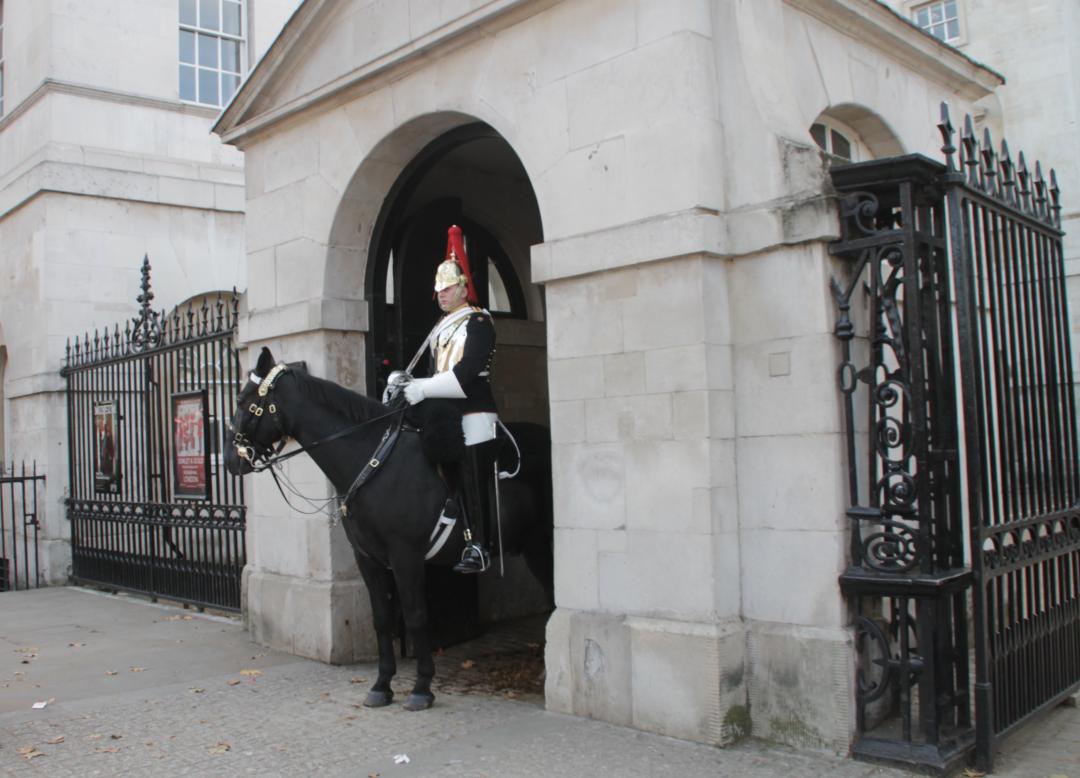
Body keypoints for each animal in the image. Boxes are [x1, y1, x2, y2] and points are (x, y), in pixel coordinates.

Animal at [223, 345, 552, 713]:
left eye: (243, 400)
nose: (230, 460)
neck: (373, 459)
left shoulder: (405, 556)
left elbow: (416, 615)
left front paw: (422, 687)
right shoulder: (368, 558)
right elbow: (381, 617)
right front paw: (382, 685)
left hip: (544, 545)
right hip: (535, 548)